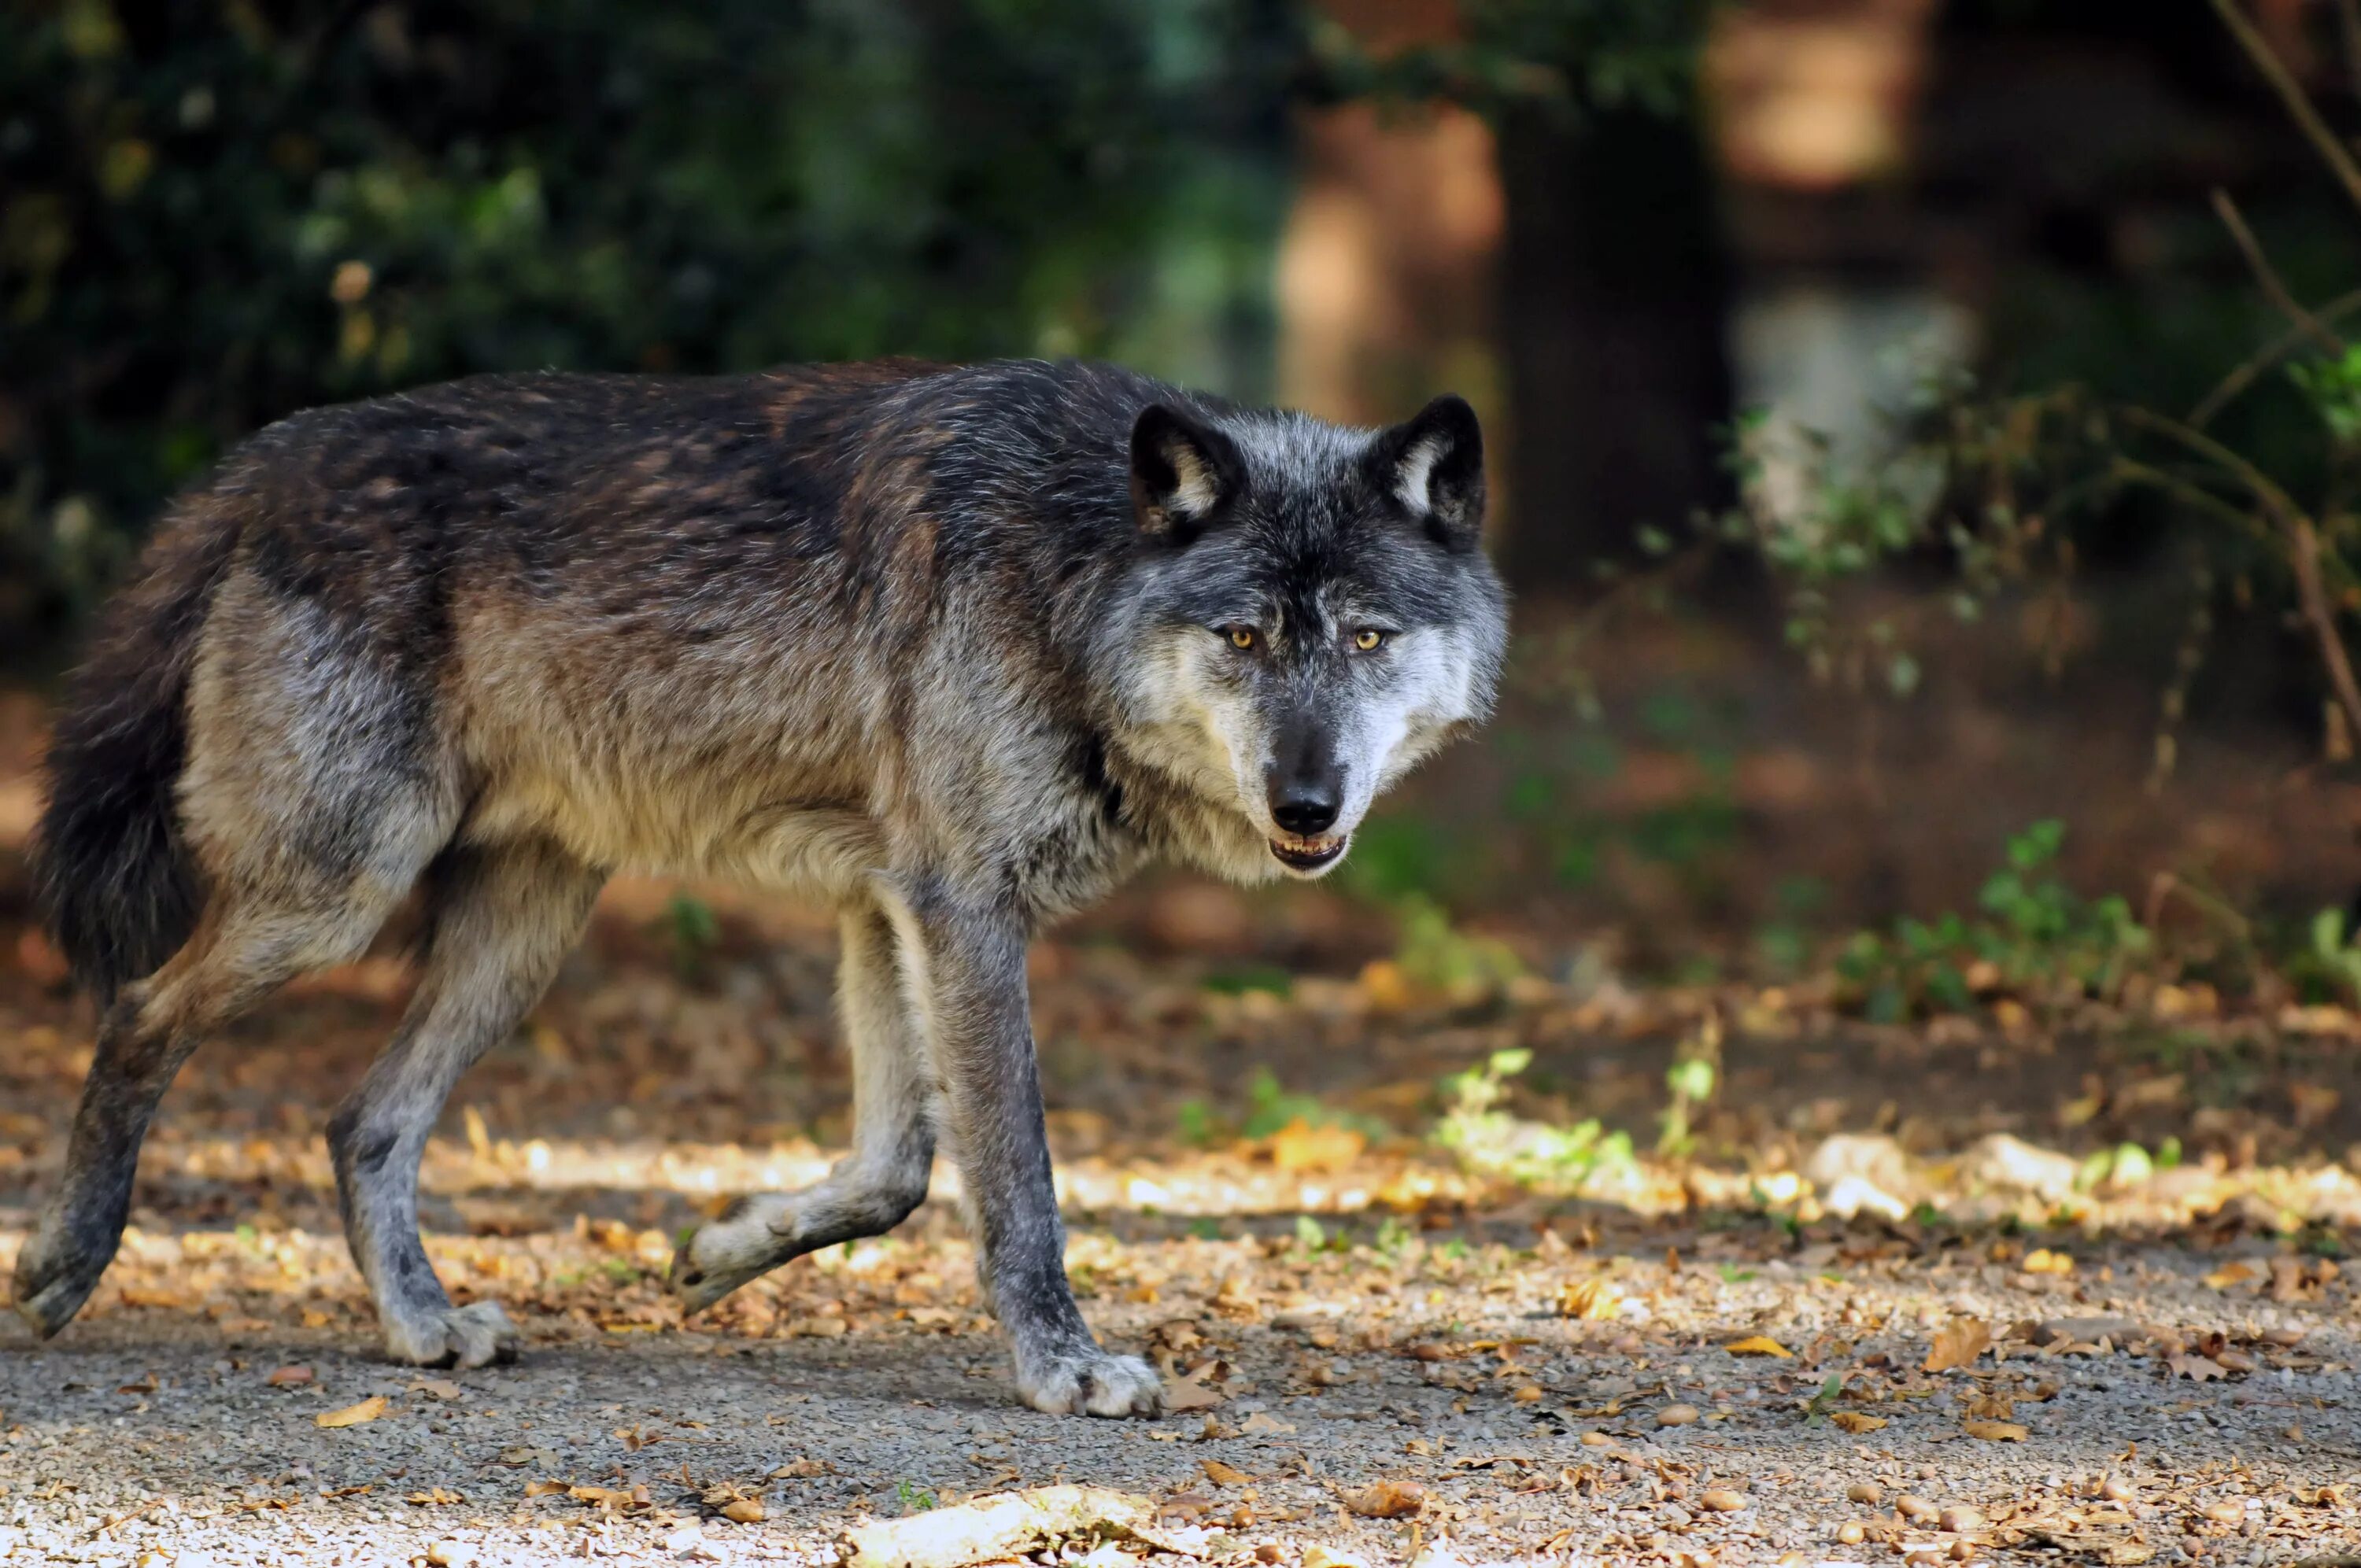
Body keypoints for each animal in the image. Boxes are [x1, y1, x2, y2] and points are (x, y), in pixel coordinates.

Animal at [18, 361, 1502, 1416]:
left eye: (1369, 639)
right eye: (1243, 638)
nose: (1307, 804)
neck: (1072, 569)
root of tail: (262, 457)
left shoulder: (890, 905)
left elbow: (896, 1172)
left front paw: (720, 1248)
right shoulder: (962, 908)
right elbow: (1014, 1177)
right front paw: (1064, 1367)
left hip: (521, 935)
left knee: (360, 1120)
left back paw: (424, 1324)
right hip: (339, 891)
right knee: (140, 1012)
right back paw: (59, 1269)